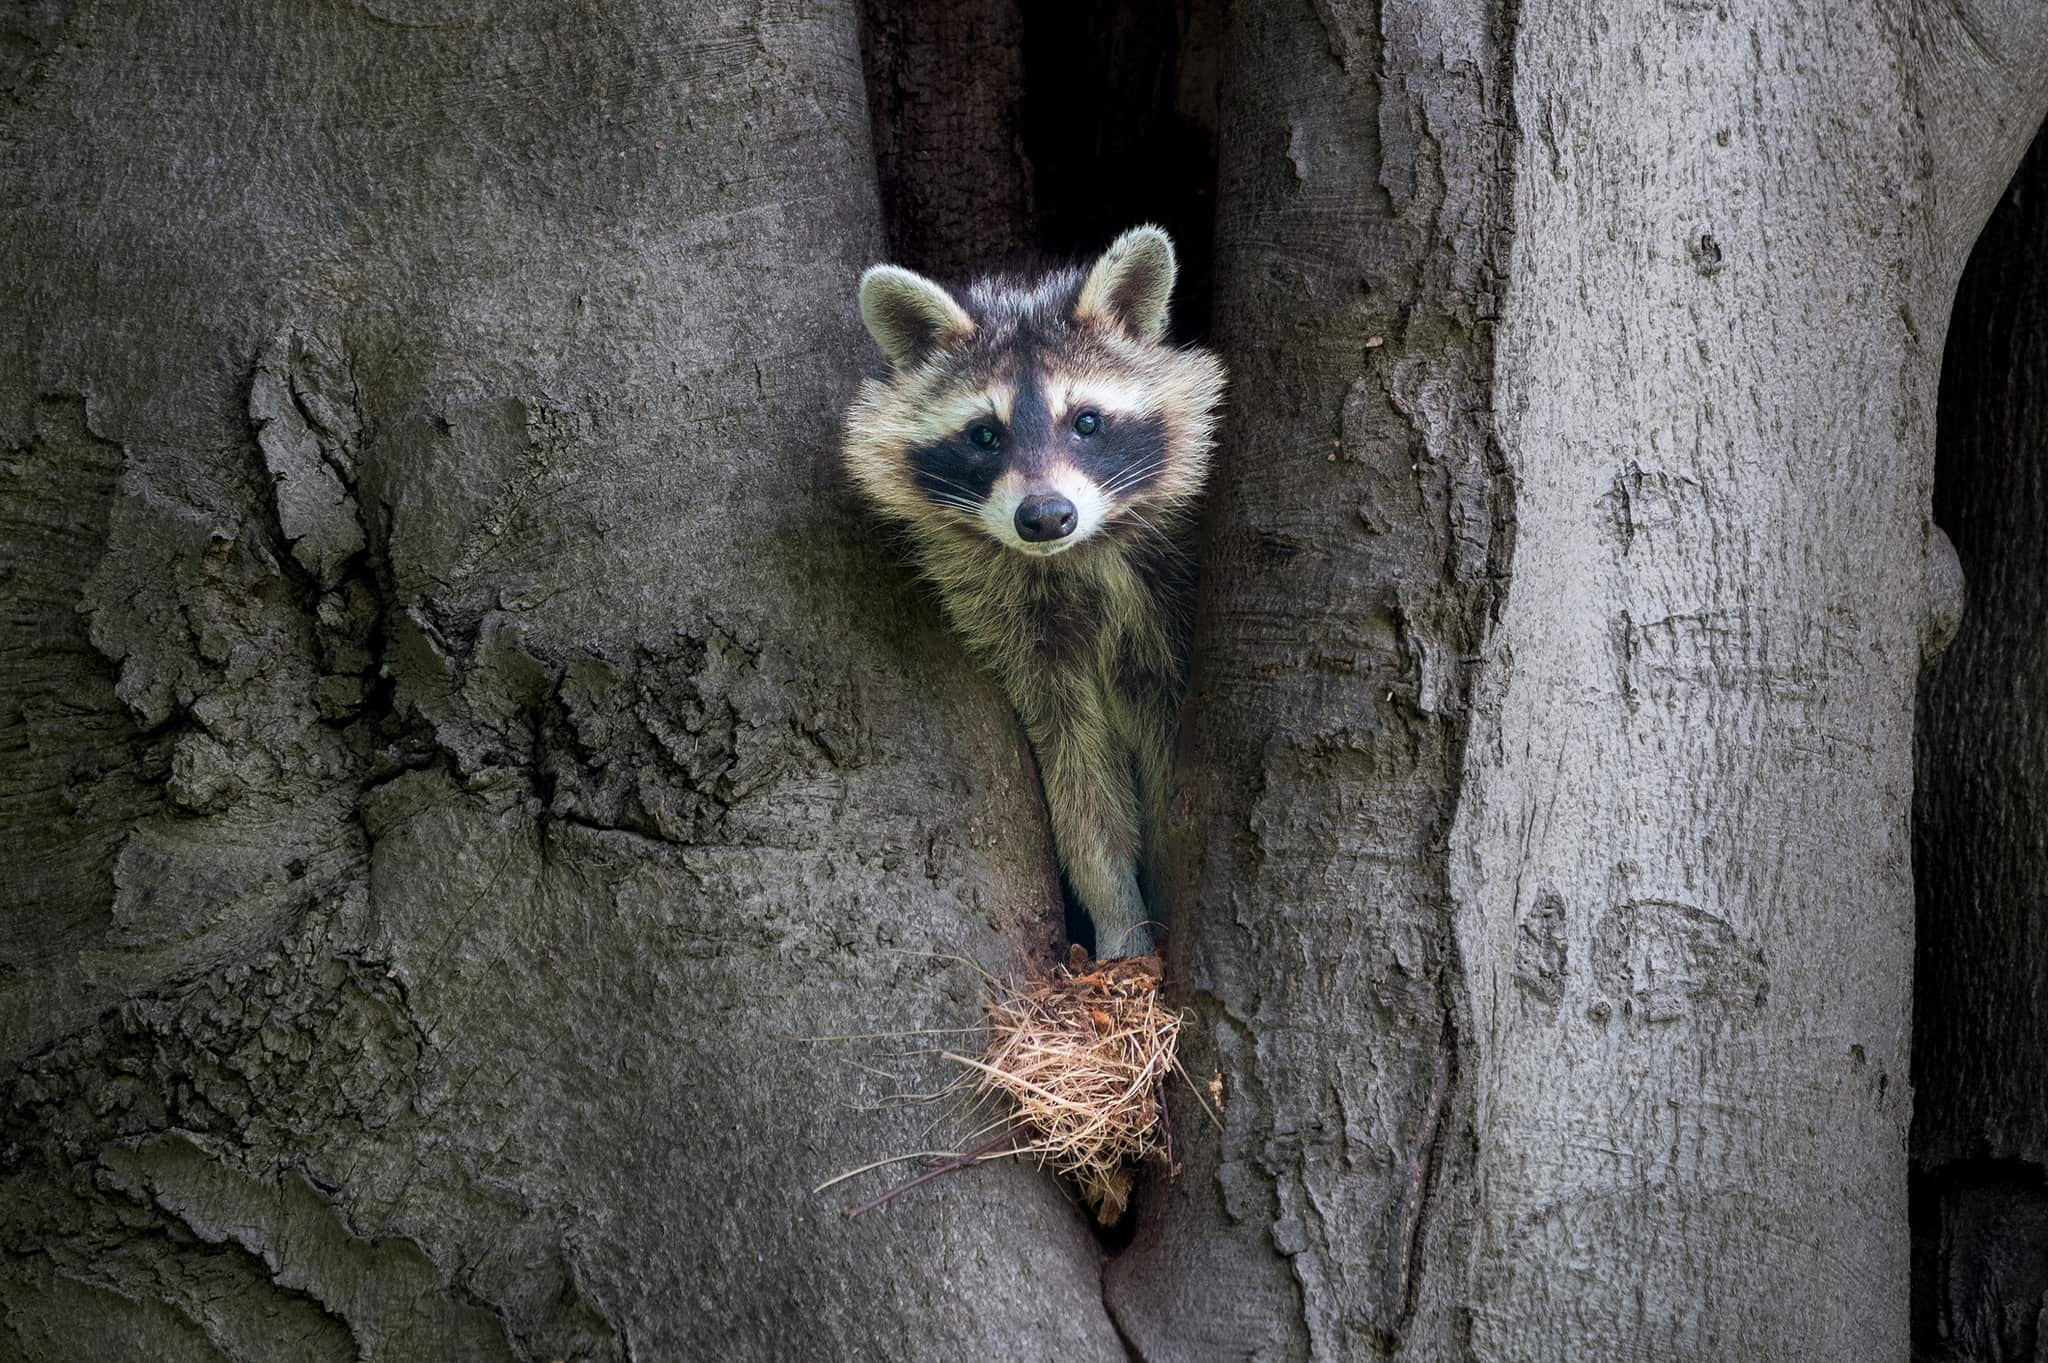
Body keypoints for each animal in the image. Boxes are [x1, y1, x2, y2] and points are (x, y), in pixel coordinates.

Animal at [843, 226, 1226, 959]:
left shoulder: (1165, 602)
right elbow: (1078, 779)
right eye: (984, 435)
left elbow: (1169, 760)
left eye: (1086, 422)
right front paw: (1118, 917)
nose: (1045, 516)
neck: (1072, 558)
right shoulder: (1018, 631)